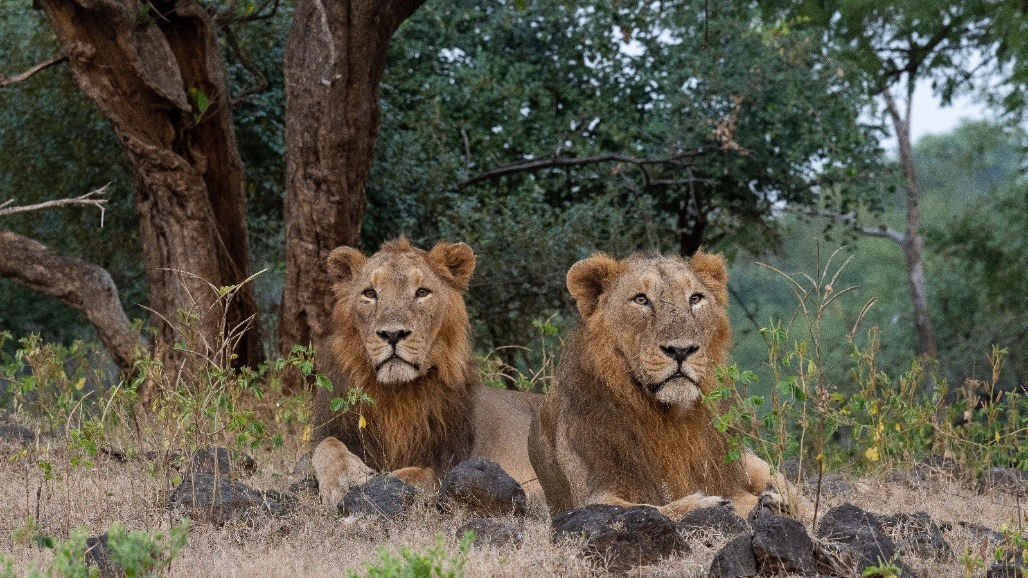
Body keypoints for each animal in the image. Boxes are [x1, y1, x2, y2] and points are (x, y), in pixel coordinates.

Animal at [310, 238, 541, 506]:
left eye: (422, 292)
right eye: (370, 293)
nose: (392, 334)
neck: (395, 395)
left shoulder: (447, 463)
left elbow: (413, 475)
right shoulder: (334, 429)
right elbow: (326, 446)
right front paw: (345, 477)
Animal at [528, 250, 805, 519]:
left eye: (695, 298)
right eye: (641, 299)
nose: (681, 350)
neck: (667, 418)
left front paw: (765, 503)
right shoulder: (592, 495)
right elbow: (651, 508)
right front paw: (708, 504)